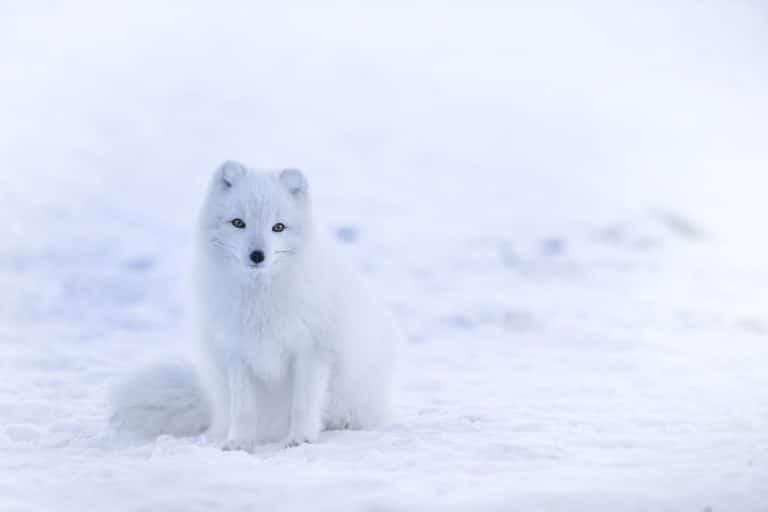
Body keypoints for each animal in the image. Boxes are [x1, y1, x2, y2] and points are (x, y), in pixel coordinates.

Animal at [110, 161, 398, 450]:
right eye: (239, 223)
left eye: (278, 227)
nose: (257, 255)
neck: (259, 298)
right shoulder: (237, 354)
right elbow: (244, 409)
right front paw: (239, 442)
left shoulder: (311, 351)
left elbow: (303, 404)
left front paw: (300, 438)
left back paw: (340, 422)